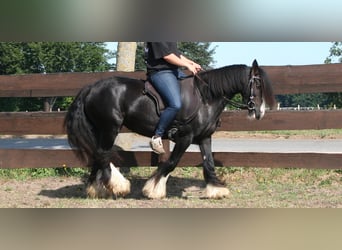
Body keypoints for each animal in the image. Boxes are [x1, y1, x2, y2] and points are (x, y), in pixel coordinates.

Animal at [65, 59, 276, 198]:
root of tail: (91, 88)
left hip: (100, 130)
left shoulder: (205, 137)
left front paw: (217, 189)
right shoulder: (185, 138)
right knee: (102, 154)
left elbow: (208, 163)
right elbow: (172, 162)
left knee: (98, 155)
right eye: (257, 83)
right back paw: (117, 185)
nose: (260, 112)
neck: (206, 97)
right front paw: (153, 189)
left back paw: (97, 189)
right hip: (110, 128)